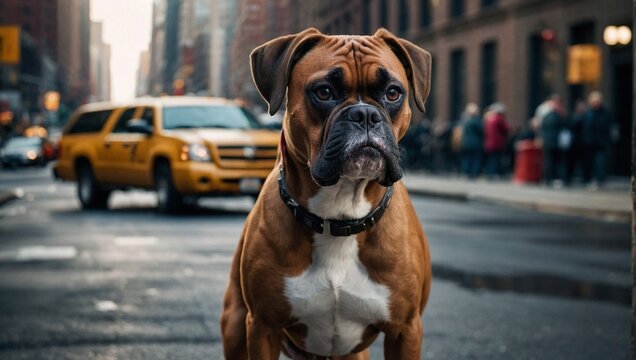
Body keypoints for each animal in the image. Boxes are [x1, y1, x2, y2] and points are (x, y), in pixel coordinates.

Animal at [222, 28, 432, 360]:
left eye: (393, 93)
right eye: (323, 92)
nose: (365, 114)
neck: (340, 217)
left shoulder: (405, 331)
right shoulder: (263, 327)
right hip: (235, 327)